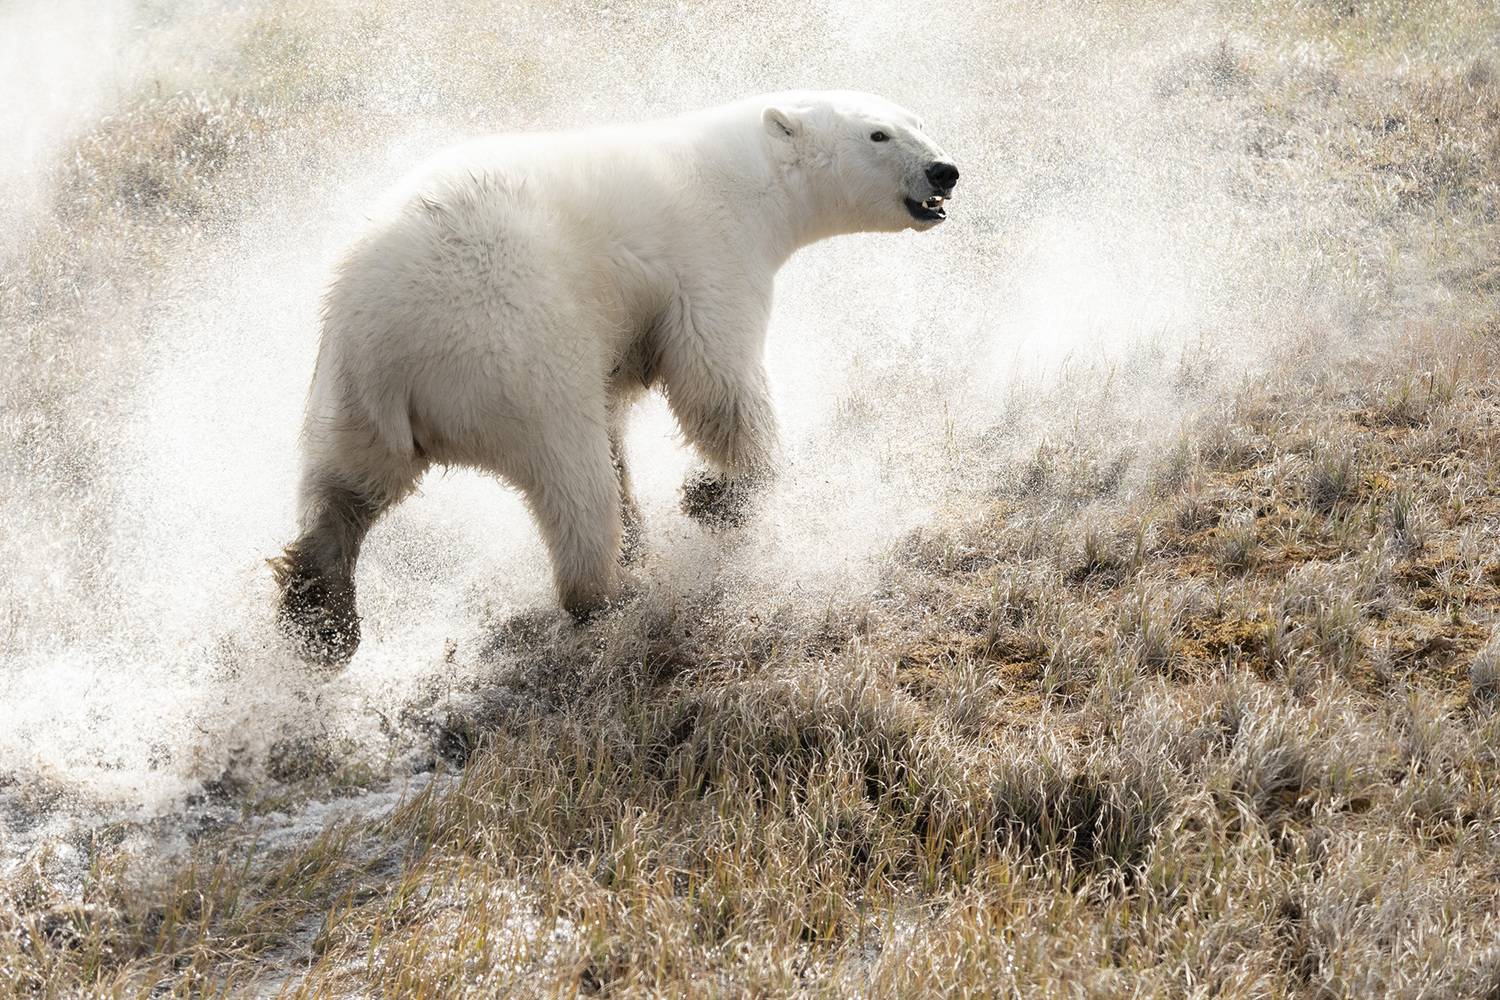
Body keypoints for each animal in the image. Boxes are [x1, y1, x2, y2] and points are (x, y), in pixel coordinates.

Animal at [271, 90, 959, 665]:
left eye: (919, 119)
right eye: (877, 134)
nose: (945, 171)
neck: (742, 175)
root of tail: (390, 351)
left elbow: (626, 408)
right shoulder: (706, 256)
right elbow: (717, 383)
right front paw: (720, 495)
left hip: (348, 394)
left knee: (347, 485)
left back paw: (319, 612)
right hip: (515, 349)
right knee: (572, 477)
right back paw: (609, 593)